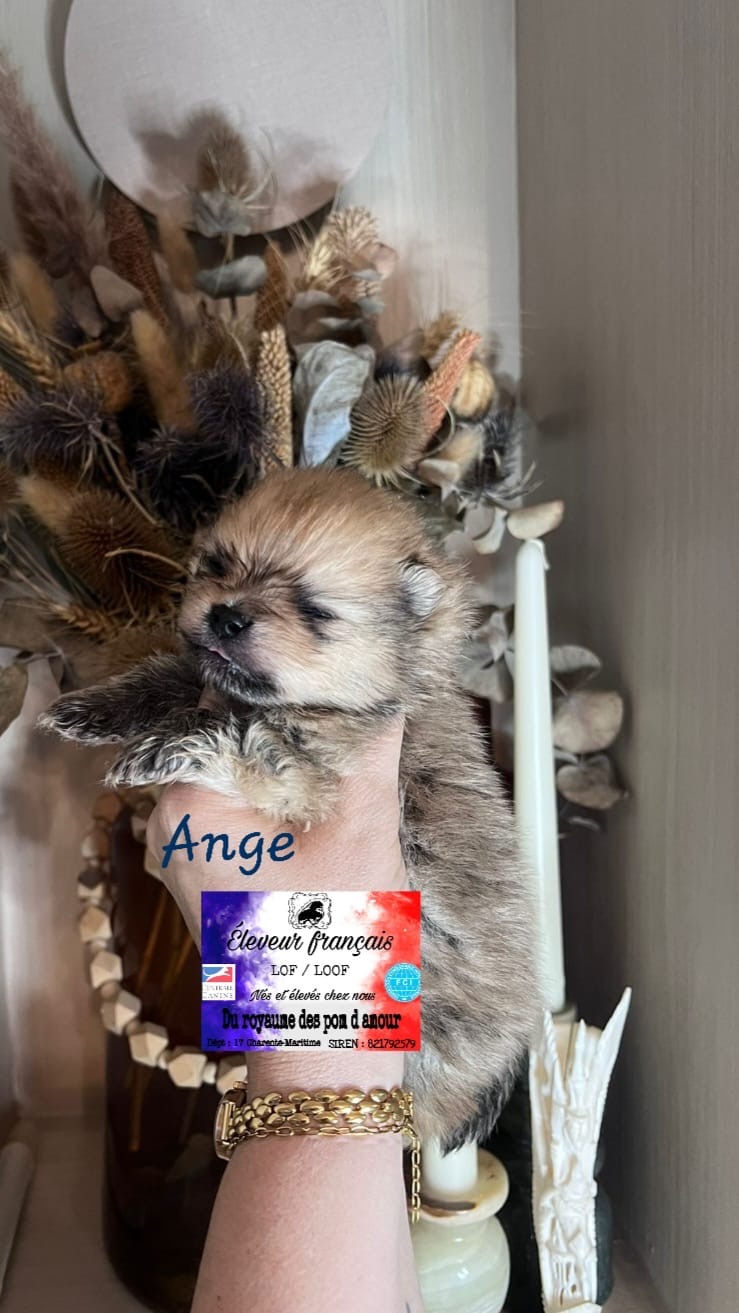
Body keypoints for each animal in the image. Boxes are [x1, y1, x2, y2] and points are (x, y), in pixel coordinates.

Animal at [41, 466, 540, 1147]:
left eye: (313, 610)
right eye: (216, 566)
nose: (226, 615)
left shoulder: (305, 772)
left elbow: (237, 740)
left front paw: (168, 747)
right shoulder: (208, 680)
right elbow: (170, 678)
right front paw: (96, 708)